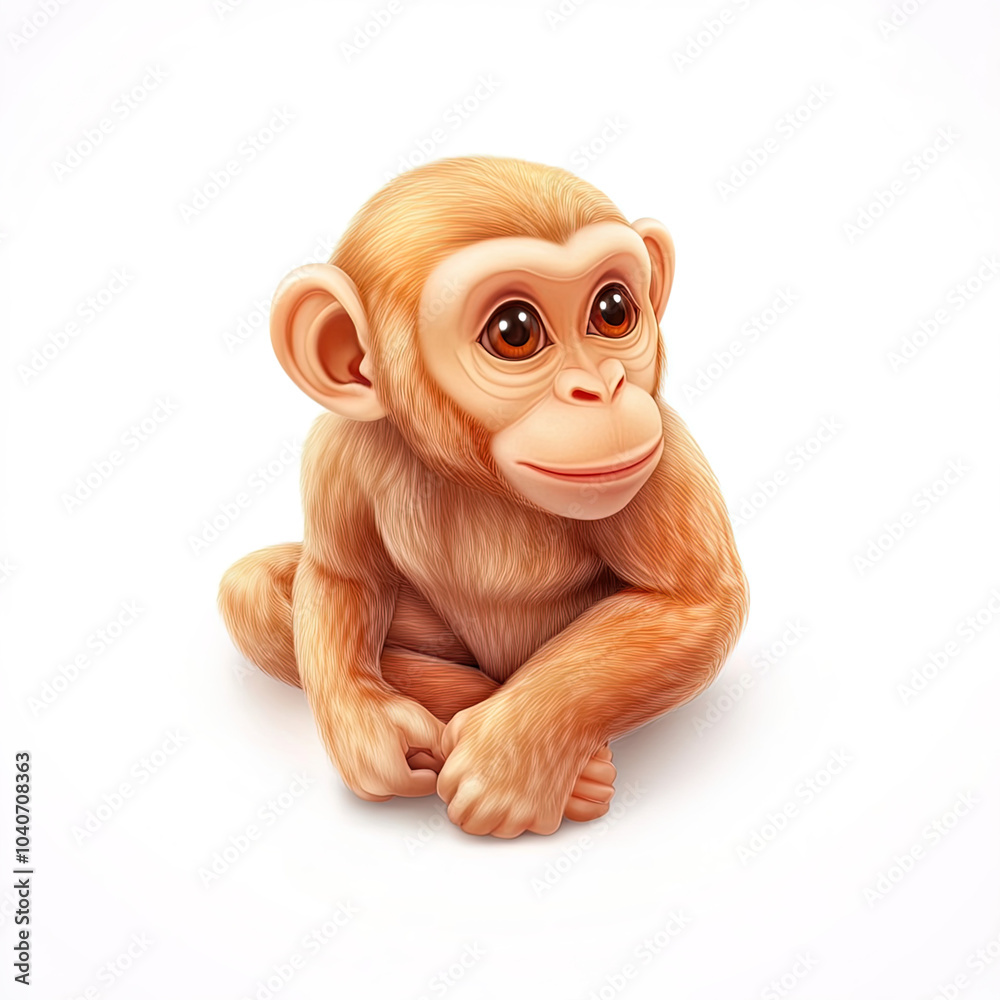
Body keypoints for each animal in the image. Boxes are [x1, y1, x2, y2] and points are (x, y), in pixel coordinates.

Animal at [219, 156, 748, 839]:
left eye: (612, 311)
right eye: (514, 331)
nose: (601, 388)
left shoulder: (663, 459)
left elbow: (693, 601)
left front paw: (509, 758)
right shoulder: (334, 452)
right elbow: (342, 578)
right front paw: (372, 727)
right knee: (253, 588)